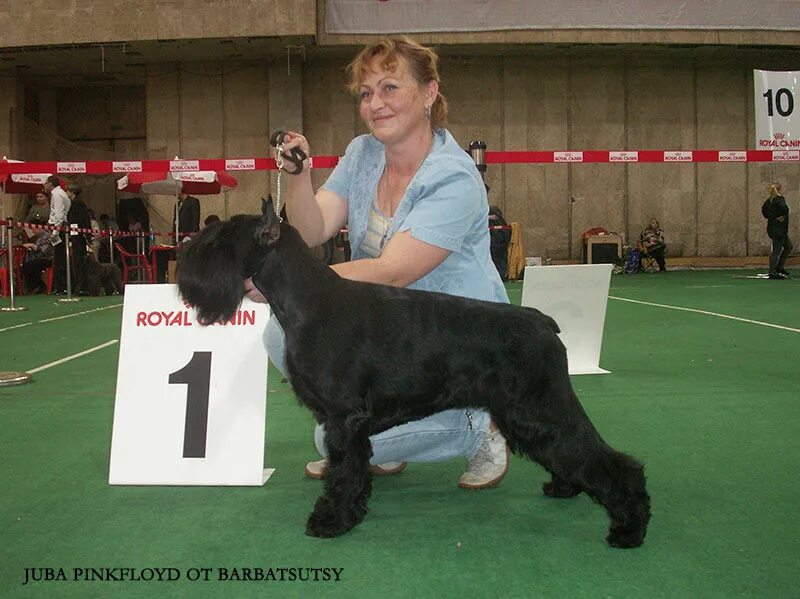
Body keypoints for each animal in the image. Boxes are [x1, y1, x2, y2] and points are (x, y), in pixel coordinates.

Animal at [177, 200, 648, 548]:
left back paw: (629, 527)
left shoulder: (344, 420)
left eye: (218, 243)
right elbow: (352, 470)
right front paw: (351, 509)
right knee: (571, 452)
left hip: (540, 408)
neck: (307, 301)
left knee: (607, 459)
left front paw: (332, 520)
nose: (183, 269)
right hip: (527, 414)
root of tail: (542, 321)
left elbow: (344, 472)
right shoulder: (346, 423)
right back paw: (565, 487)